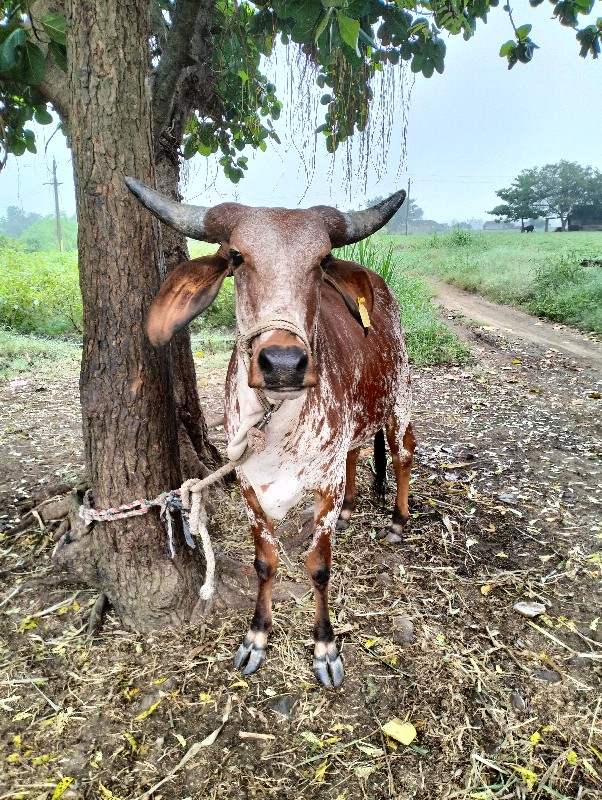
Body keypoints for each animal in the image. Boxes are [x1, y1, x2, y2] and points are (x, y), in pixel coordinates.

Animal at [122, 180, 412, 688]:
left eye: (322, 261)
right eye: (237, 257)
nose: (283, 363)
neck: (277, 427)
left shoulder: (324, 488)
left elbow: (319, 568)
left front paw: (325, 647)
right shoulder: (247, 486)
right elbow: (265, 563)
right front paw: (256, 636)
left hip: (398, 399)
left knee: (401, 456)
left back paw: (397, 520)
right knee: (358, 453)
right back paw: (353, 507)